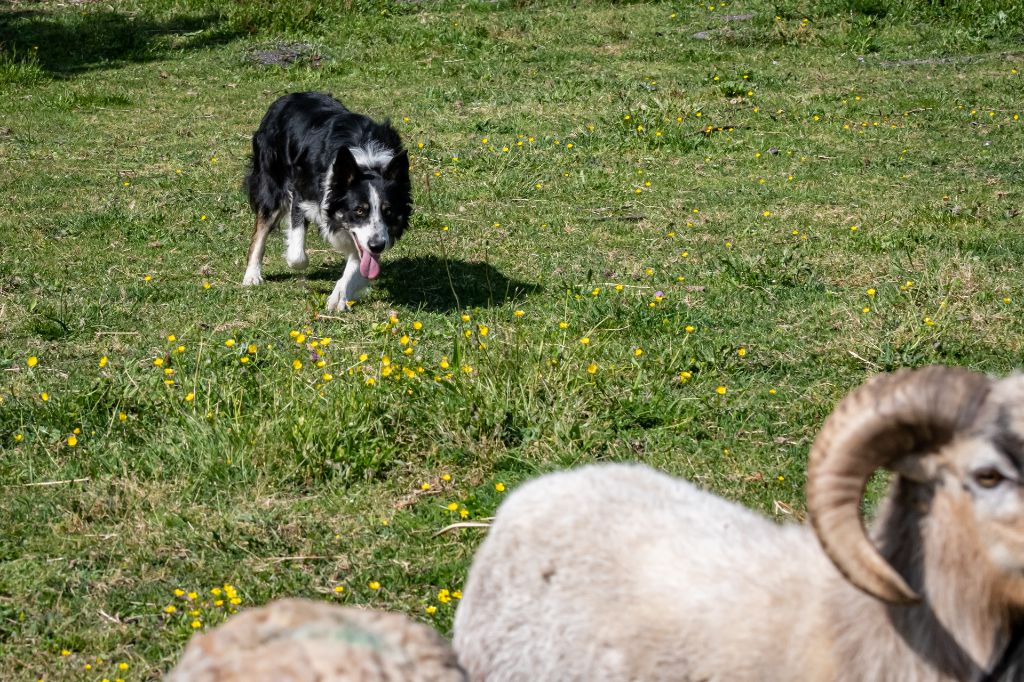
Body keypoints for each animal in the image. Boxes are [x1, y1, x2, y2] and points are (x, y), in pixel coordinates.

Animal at [241, 91, 409, 309]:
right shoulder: (301, 192)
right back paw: (252, 275)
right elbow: (297, 256)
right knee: (260, 231)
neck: (367, 164)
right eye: (359, 210)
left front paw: (341, 294)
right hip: (271, 182)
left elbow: (358, 260)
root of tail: (291, 95)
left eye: (388, 211)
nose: (378, 245)